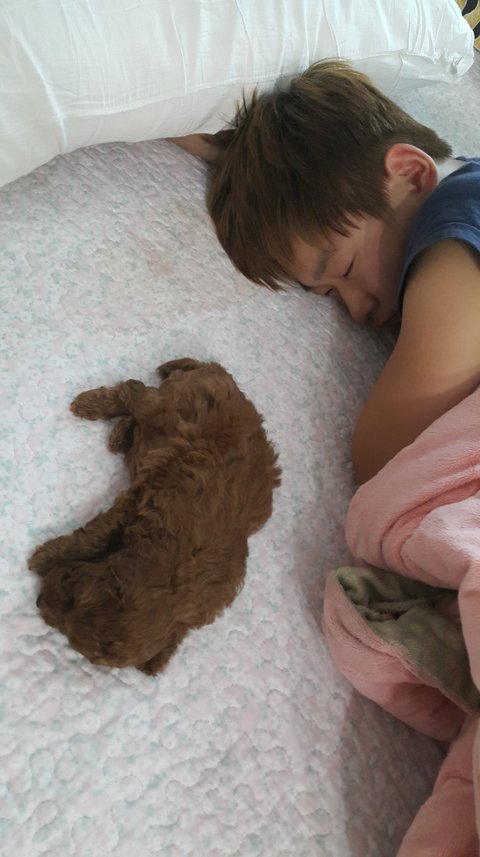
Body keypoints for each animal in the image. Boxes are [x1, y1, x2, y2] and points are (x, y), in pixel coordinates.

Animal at [29, 359, 281, 675]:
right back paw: (89, 406)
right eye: (73, 593)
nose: (38, 601)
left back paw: (121, 436)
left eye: (67, 634)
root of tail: (223, 374)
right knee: (134, 390)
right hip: (165, 404)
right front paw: (43, 557)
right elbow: (92, 535)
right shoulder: (139, 503)